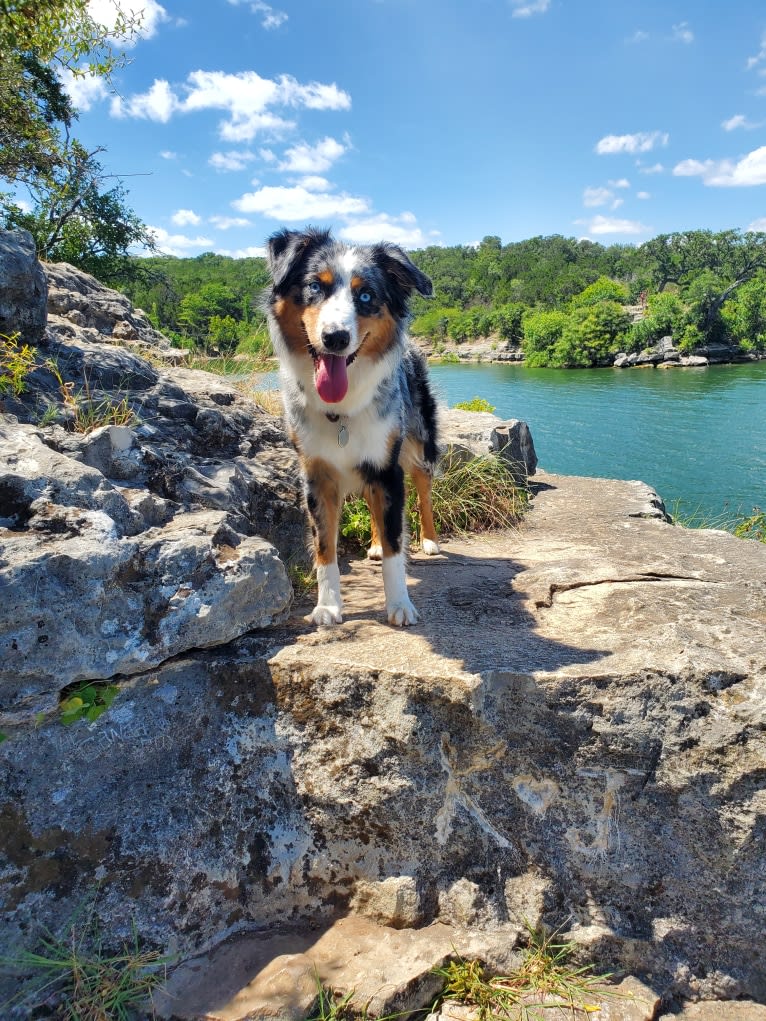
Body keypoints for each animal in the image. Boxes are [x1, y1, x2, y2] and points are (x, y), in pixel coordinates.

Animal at [267, 227, 441, 624]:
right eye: (315, 286)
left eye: (366, 296)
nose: (336, 338)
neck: (341, 413)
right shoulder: (317, 474)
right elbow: (324, 548)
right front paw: (328, 606)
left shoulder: (387, 467)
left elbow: (395, 544)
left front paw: (399, 604)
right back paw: (373, 545)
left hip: (417, 441)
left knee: (423, 488)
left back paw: (429, 540)